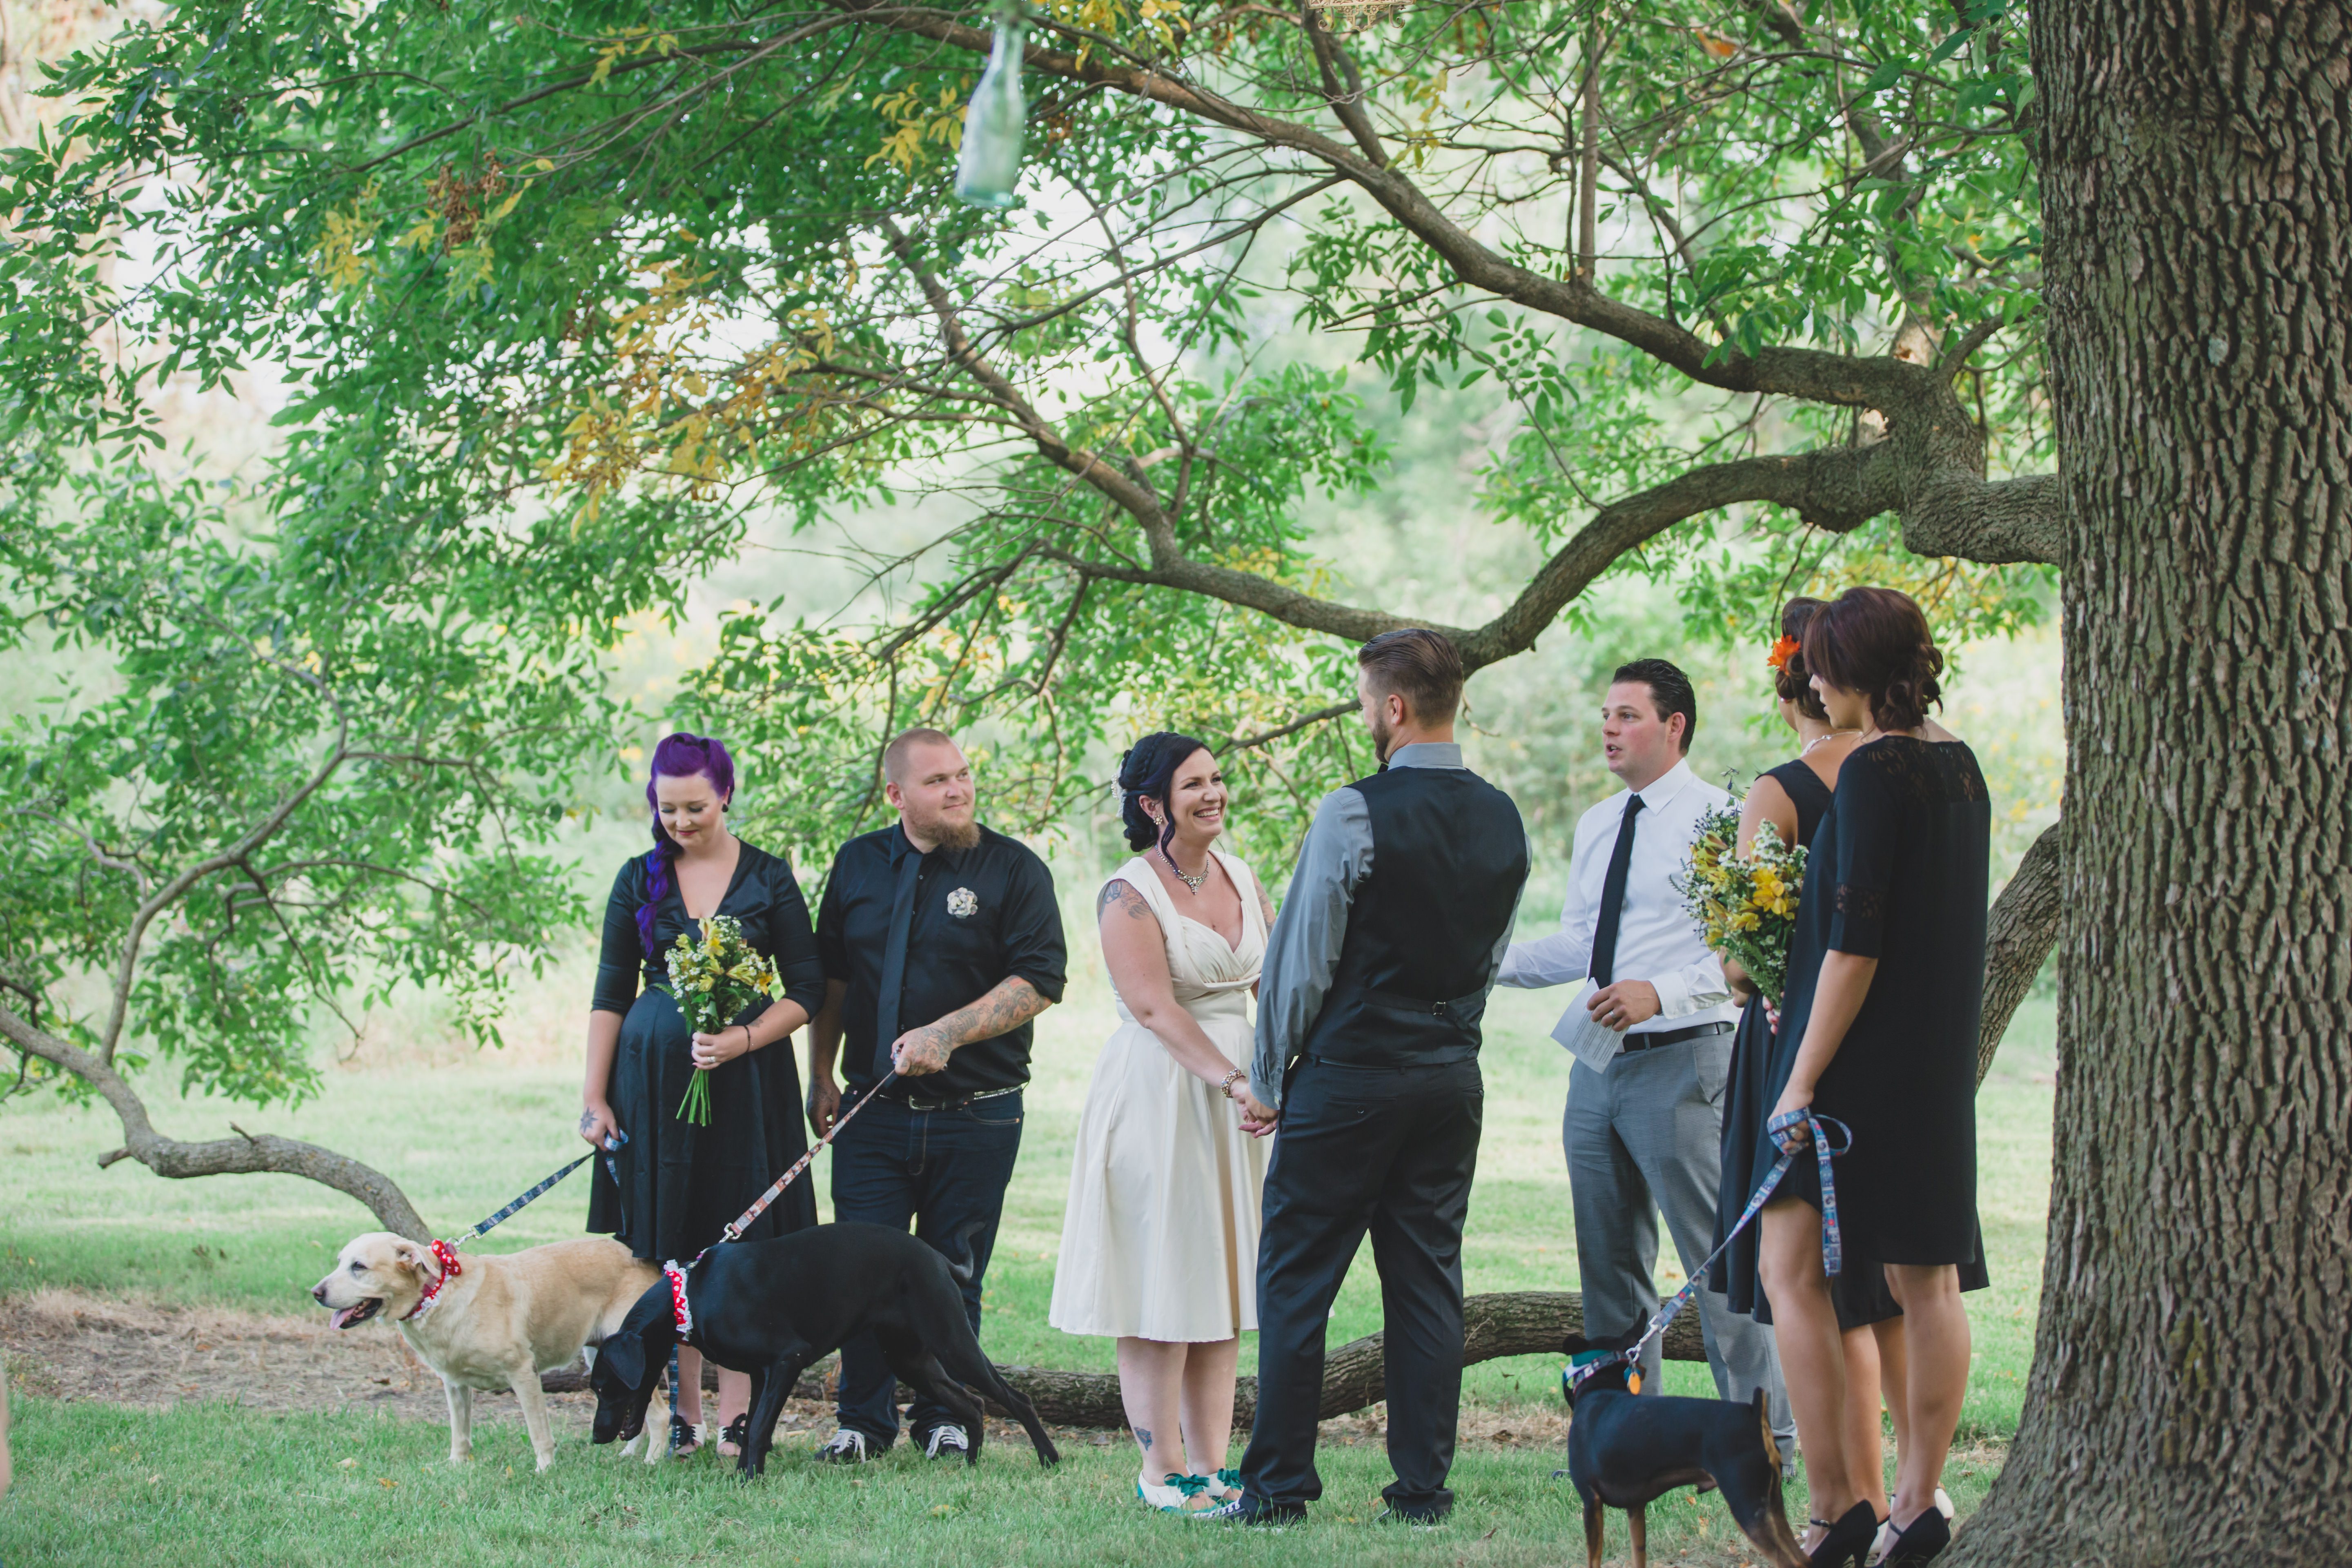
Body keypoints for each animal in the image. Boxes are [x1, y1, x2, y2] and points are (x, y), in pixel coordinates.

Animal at [314, 1232, 657, 1471]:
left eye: (359, 1267)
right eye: (340, 1262)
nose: (316, 1293)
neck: (437, 1294)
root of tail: (645, 1261)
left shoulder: (524, 1371)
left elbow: (539, 1433)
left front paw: (545, 1470)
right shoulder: (454, 1383)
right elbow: (460, 1433)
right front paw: (456, 1466)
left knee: (661, 1415)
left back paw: (652, 1461)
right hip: (601, 1357)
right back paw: (629, 1454)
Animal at [590, 1220, 1060, 1476]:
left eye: (603, 1386)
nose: (596, 1436)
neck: (689, 1296)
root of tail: (936, 1257)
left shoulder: (788, 1361)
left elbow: (758, 1429)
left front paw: (749, 1480)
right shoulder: (761, 1374)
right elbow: (751, 1427)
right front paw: (746, 1474)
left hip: (953, 1343)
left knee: (1015, 1399)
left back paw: (1049, 1458)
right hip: (912, 1361)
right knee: (972, 1405)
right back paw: (972, 1464)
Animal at [1559, 1331, 1808, 1568]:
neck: (1599, 1388)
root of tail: (1755, 1413)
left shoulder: (1591, 1502)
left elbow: (1593, 1559)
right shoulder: (1636, 1507)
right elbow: (1638, 1556)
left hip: (1747, 1507)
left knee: (1790, 1562)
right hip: (1773, 1504)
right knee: (1803, 1558)